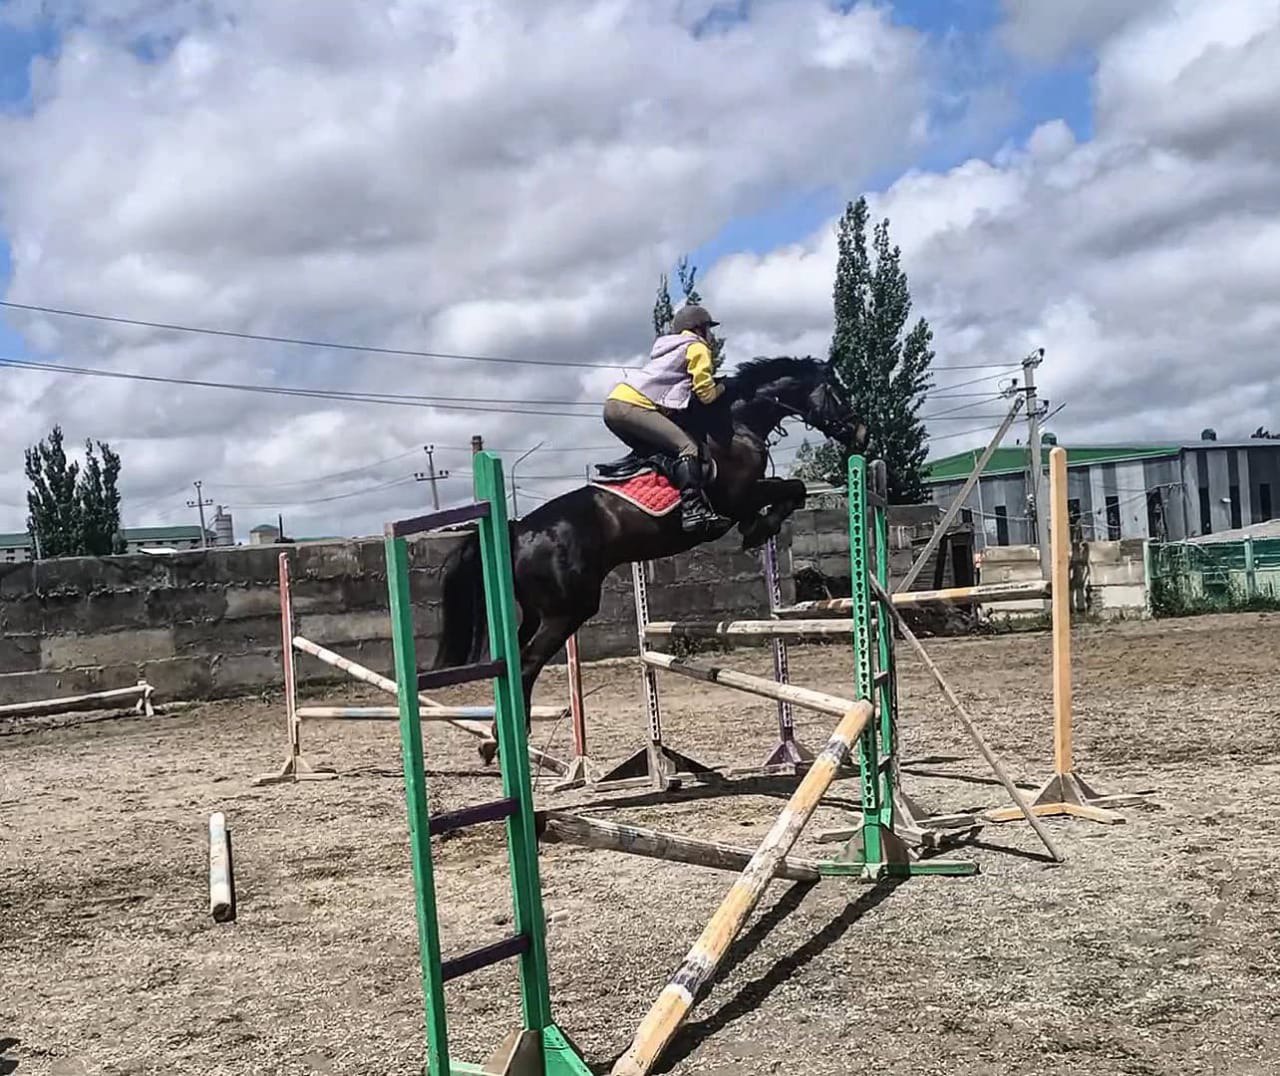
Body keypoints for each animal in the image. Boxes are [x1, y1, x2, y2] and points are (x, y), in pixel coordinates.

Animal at [434, 355, 867, 762]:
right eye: (837, 390)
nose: (861, 433)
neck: (736, 425)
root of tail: (518, 529)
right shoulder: (740, 495)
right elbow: (793, 488)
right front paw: (762, 528)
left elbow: (786, 493)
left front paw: (758, 528)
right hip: (567, 612)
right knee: (527, 663)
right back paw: (507, 738)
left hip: (537, 612)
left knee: (514, 662)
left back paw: (498, 737)